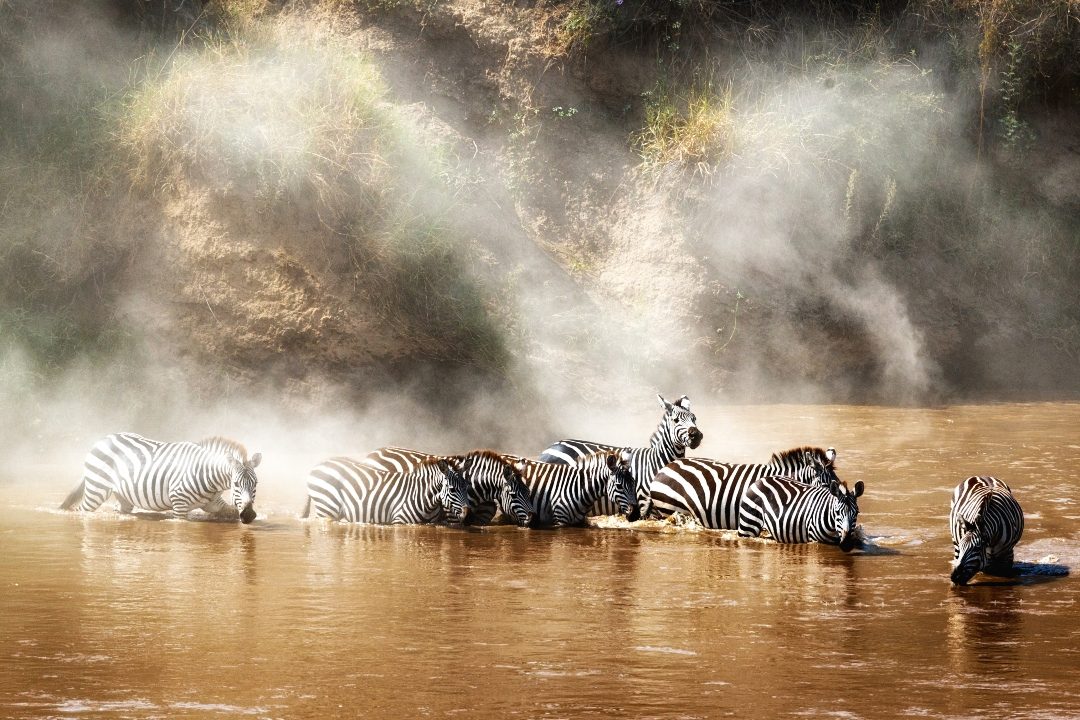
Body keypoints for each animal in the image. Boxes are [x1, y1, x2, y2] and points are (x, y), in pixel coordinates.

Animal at [59, 432, 261, 523]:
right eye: (235, 484)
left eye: (256, 484)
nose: (249, 515)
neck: (207, 474)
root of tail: (103, 438)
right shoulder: (179, 503)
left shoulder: (213, 503)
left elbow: (232, 512)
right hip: (96, 490)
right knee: (82, 510)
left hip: (124, 497)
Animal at [302, 456, 470, 524]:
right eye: (452, 489)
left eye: (467, 487)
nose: (467, 514)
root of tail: (318, 464)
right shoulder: (400, 522)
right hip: (326, 508)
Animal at [361, 447, 535, 526]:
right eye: (513, 495)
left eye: (528, 492)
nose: (531, 517)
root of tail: (373, 452)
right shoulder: (452, 517)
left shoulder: (479, 520)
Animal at [538, 394, 703, 520]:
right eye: (676, 420)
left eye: (694, 418)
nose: (696, 435)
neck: (655, 462)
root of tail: (550, 447)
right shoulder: (642, 503)